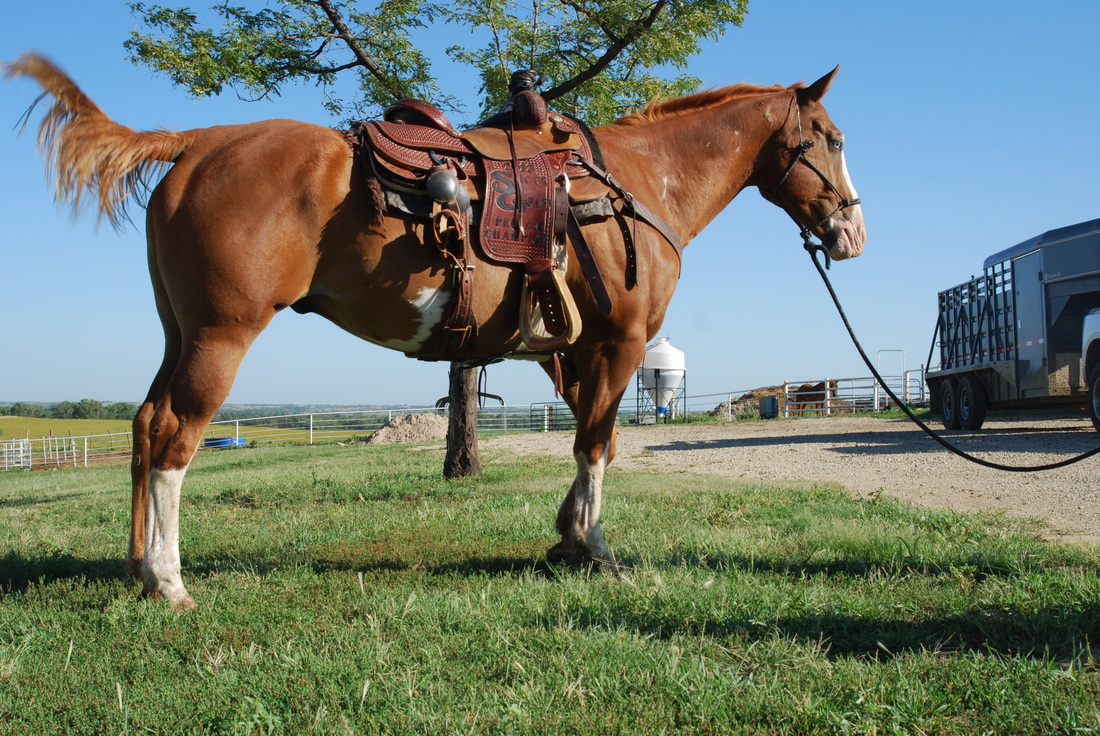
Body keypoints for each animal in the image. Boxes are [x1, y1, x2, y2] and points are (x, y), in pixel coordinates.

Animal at [8, 50, 866, 602]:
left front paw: (566, 538)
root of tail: (196, 144)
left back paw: (136, 570)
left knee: (145, 423)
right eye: (829, 139)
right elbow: (595, 446)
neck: (632, 184)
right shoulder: (618, 342)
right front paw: (594, 549)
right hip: (221, 336)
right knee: (176, 439)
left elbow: (595, 442)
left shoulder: (575, 352)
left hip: (178, 334)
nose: (852, 232)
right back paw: (170, 580)